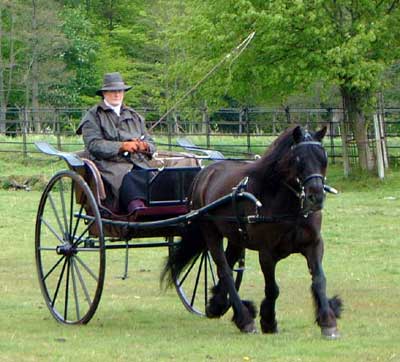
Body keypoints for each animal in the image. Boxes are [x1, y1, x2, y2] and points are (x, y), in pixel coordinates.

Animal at [161, 126, 342, 338]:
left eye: (323, 157)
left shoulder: (313, 244)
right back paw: (244, 319)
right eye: (298, 159)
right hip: (210, 232)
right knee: (225, 270)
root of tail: (205, 172)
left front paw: (328, 321)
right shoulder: (267, 253)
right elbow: (272, 289)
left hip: (235, 237)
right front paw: (268, 321)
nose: (316, 197)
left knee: (228, 265)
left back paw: (217, 305)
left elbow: (319, 280)